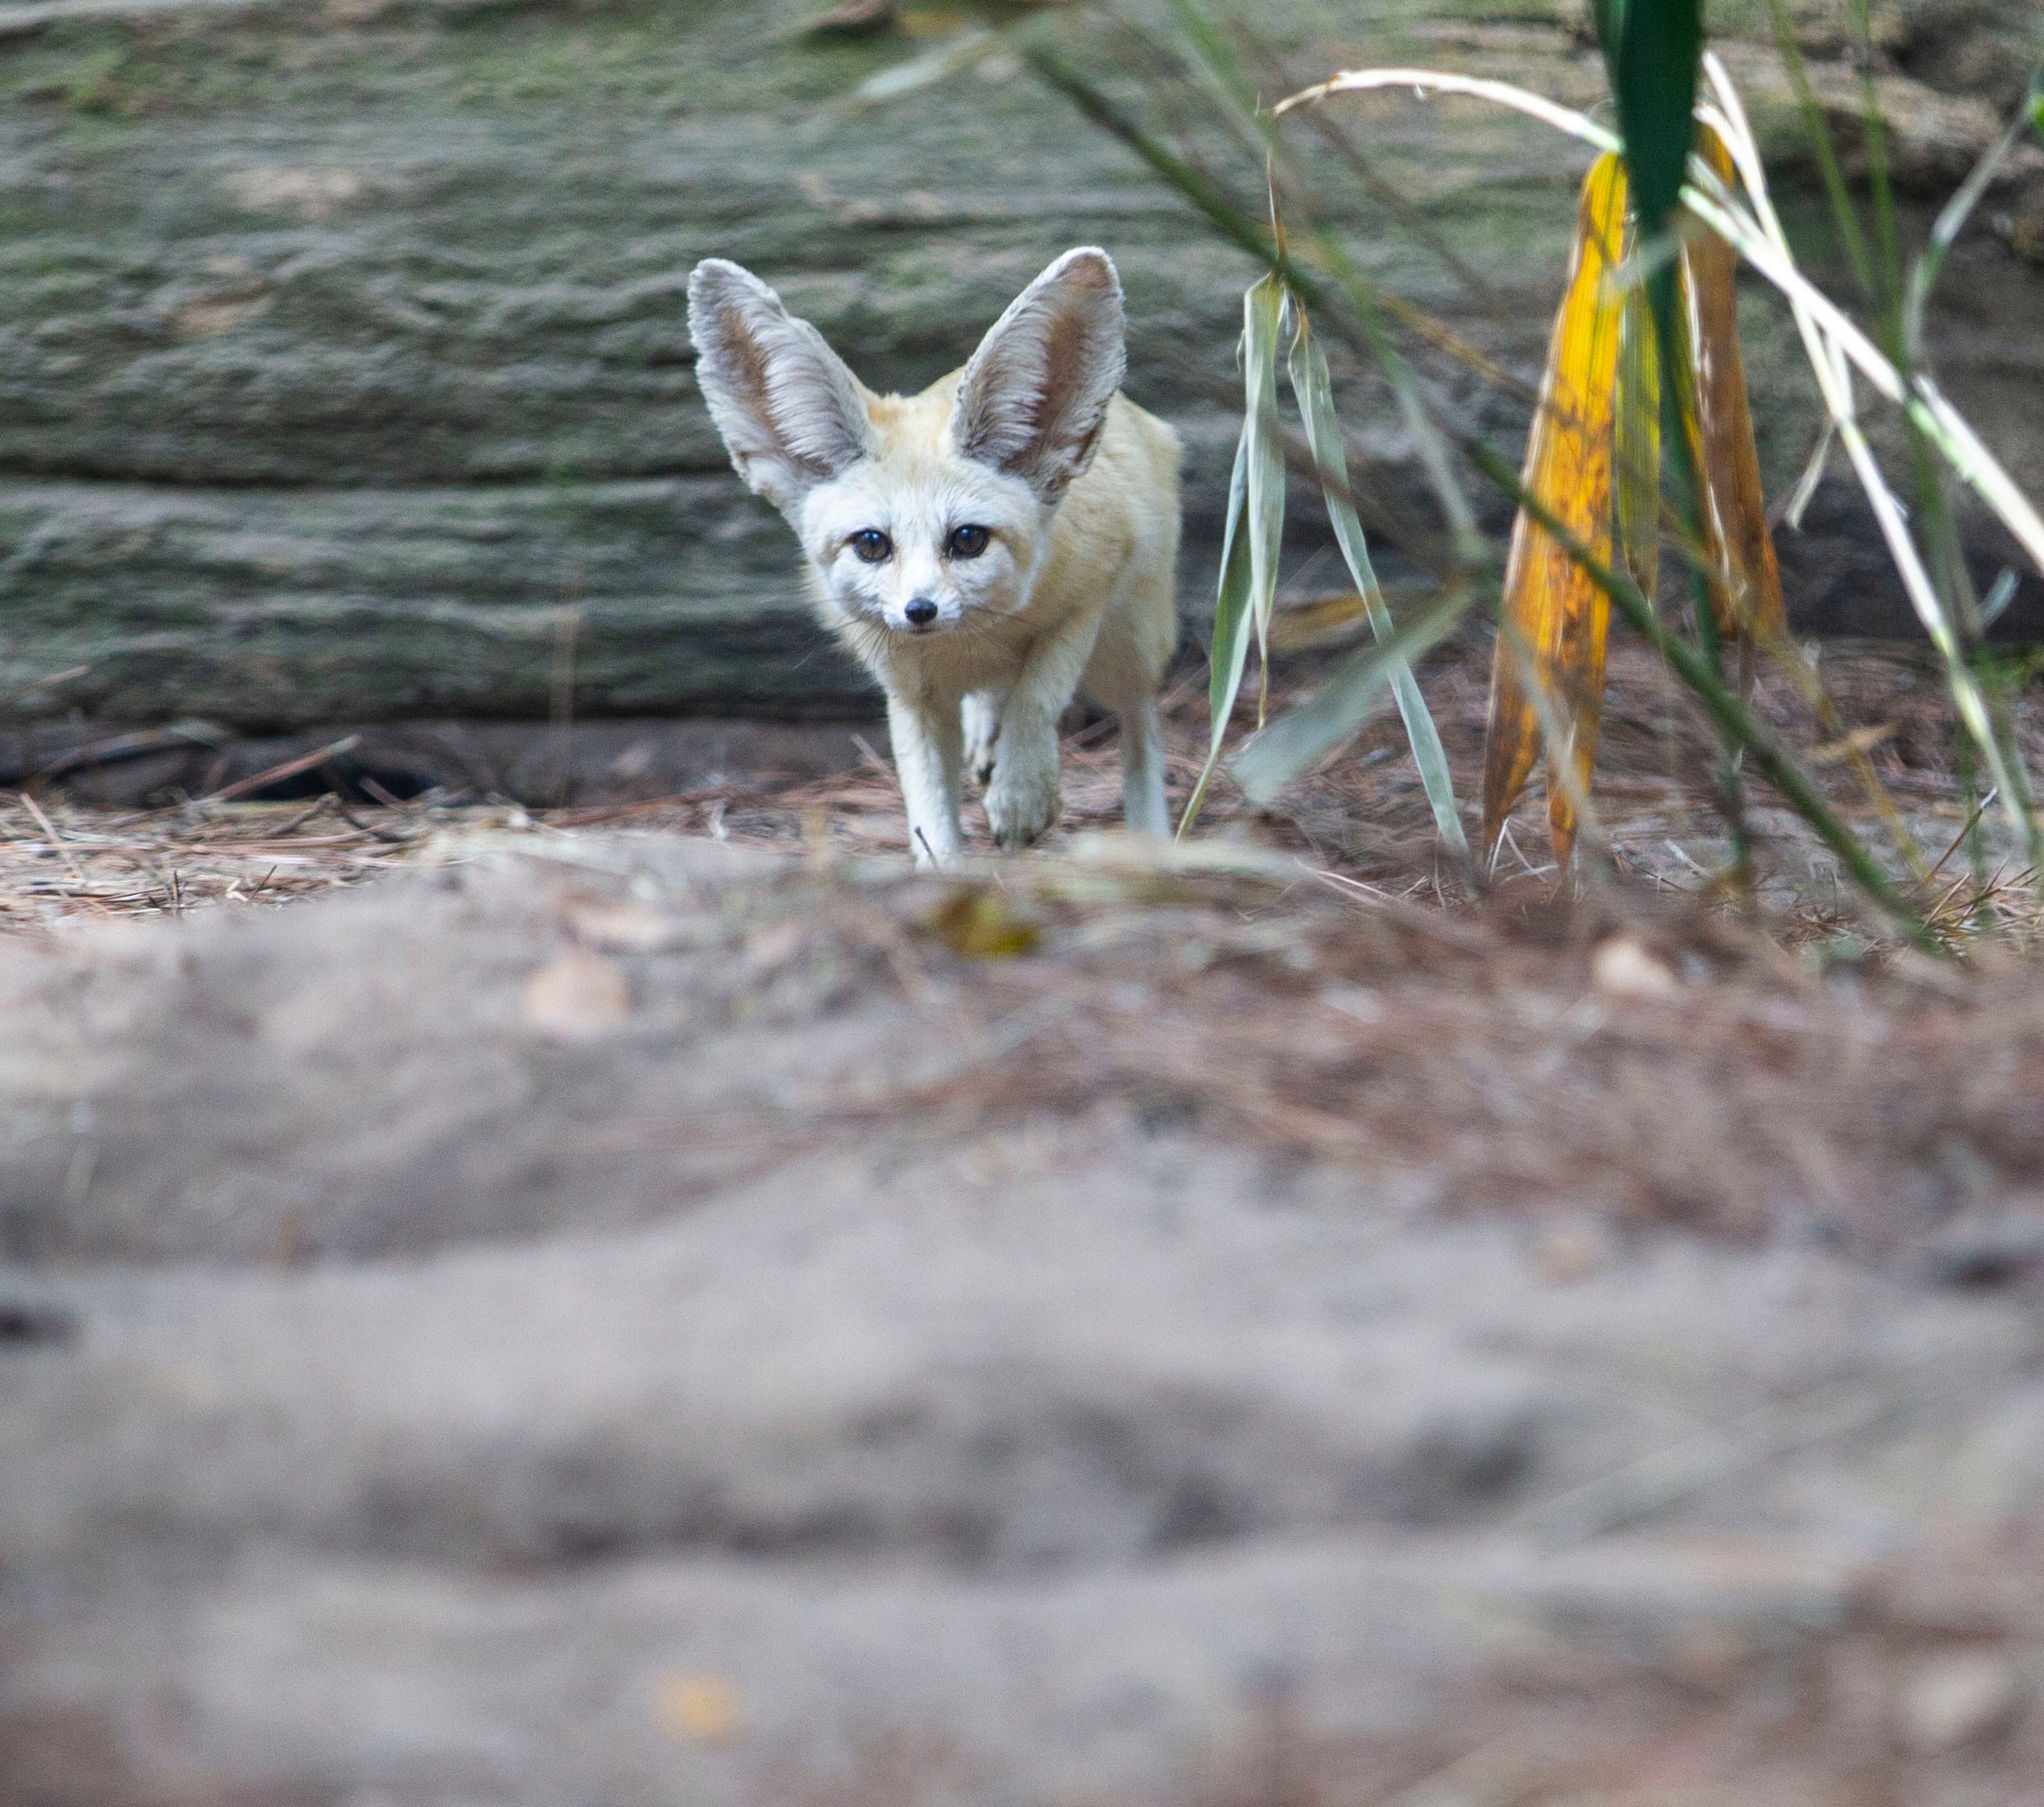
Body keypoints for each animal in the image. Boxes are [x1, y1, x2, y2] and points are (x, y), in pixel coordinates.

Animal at [686, 246, 1180, 865]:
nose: (920, 610)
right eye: (872, 544)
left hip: (1130, 648)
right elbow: (927, 807)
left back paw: (1150, 831)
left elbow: (1037, 697)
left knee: (1140, 725)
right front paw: (945, 868)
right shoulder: (911, 695)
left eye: (967, 539)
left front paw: (1021, 797)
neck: (968, 647)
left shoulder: (1085, 597)